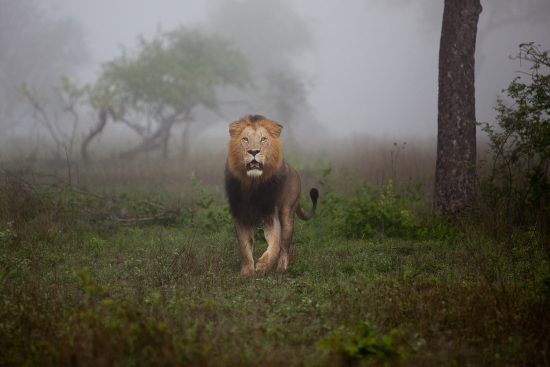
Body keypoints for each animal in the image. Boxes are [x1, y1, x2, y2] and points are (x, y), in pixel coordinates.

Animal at [224, 115, 320, 276]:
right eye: (245, 139)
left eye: (263, 139)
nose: (253, 151)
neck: (253, 185)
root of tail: (293, 169)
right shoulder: (241, 216)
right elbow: (245, 246)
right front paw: (247, 272)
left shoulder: (271, 215)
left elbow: (275, 244)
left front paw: (263, 266)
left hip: (287, 215)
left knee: (285, 246)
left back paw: (281, 269)